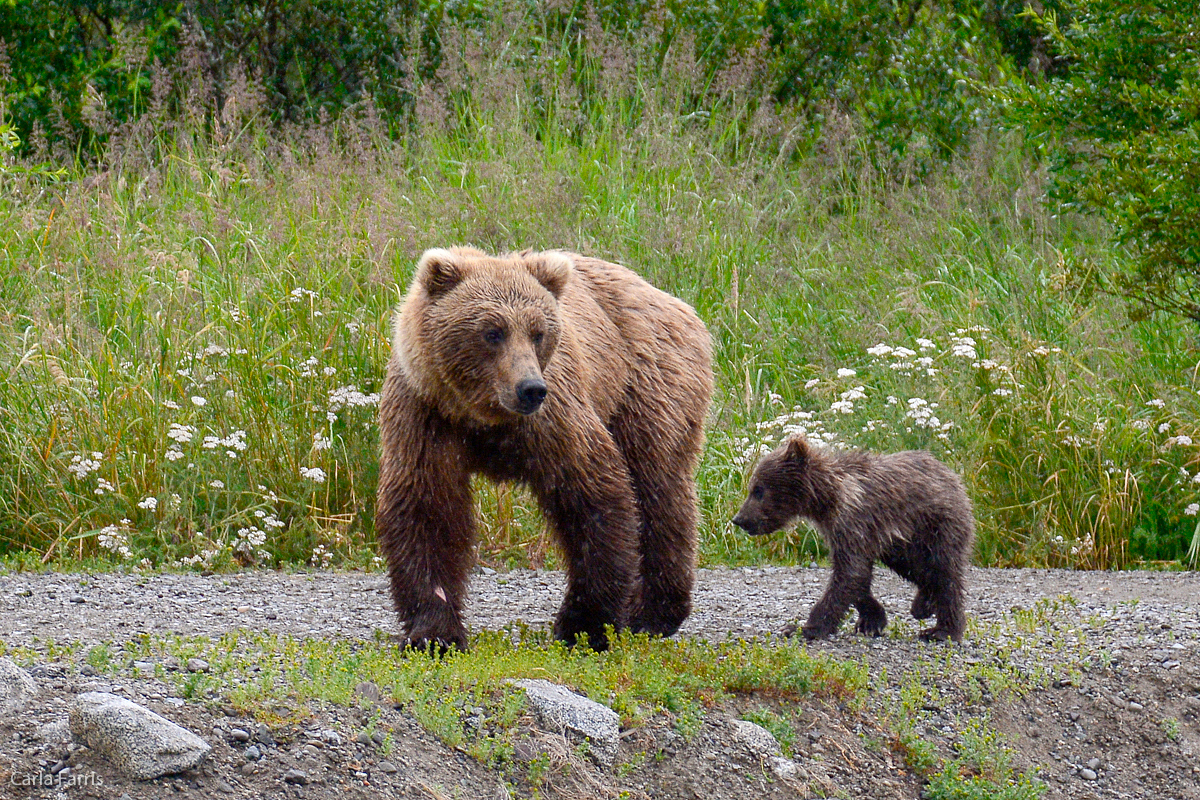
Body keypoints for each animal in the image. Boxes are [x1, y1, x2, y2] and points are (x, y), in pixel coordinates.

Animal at [376, 247, 710, 652]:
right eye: (492, 332)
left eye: (538, 332)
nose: (530, 388)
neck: (482, 417)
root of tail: (669, 299)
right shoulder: (426, 414)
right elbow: (428, 510)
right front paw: (434, 633)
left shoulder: (555, 417)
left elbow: (591, 494)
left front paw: (584, 624)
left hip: (646, 385)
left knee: (659, 488)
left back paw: (652, 613)